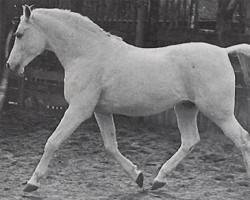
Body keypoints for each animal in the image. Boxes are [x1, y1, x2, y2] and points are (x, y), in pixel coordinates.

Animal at [6, 5, 250, 191]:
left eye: (19, 34)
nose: (11, 65)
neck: (87, 53)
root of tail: (223, 51)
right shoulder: (100, 111)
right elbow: (111, 146)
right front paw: (138, 177)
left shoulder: (78, 109)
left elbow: (52, 142)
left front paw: (32, 183)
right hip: (186, 108)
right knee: (190, 141)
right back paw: (158, 181)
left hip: (219, 112)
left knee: (242, 139)